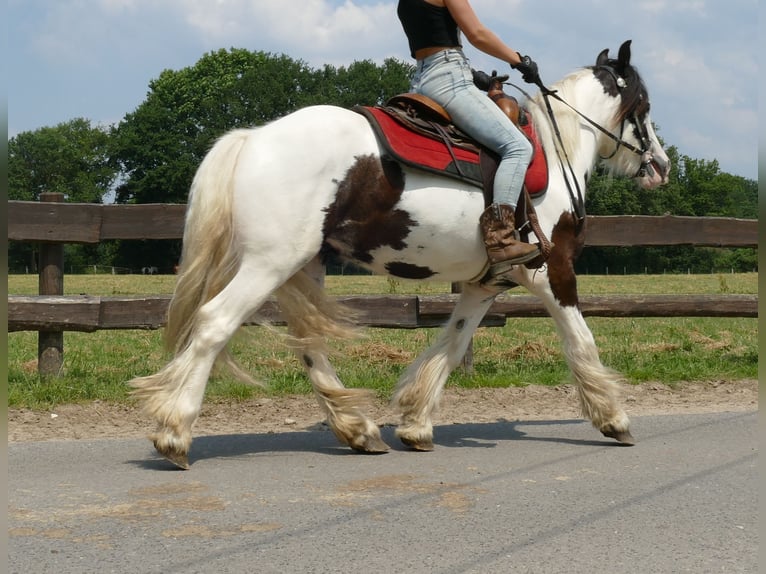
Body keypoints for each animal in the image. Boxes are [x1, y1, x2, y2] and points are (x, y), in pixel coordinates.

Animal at [132, 41, 672, 472]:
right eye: (644, 107)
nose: (662, 166)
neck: (555, 159)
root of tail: (253, 138)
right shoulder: (552, 271)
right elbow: (582, 342)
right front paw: (613, 418)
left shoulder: (486, 283)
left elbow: (451, 344)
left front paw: (415, 422)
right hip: (269, 264)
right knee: (214, 323)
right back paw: (174, 433)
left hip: (302, 266)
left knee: (309, 342)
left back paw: (358, 430)